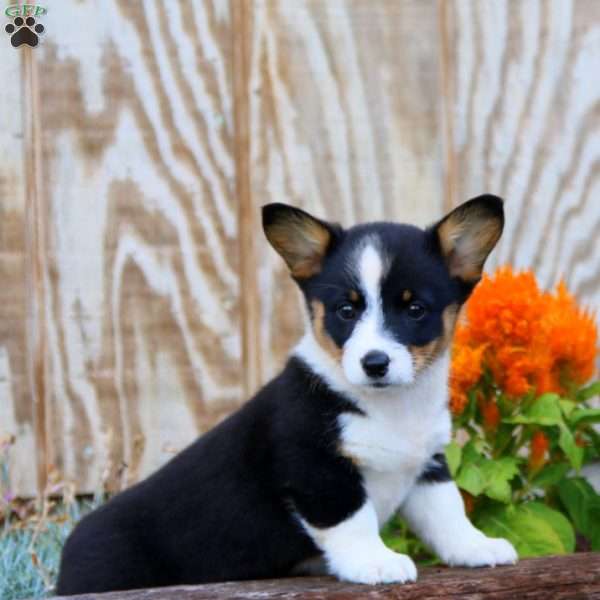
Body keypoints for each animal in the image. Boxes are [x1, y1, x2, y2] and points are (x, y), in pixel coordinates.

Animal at [55, 197, 516, 596]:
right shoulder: (316, 468)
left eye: (415, 309)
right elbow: (354, 520)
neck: (392, 407)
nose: (375, 363)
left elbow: (448, 512)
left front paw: (478, 546)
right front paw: (376, 562)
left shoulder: (426, 466)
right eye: (346, 311)